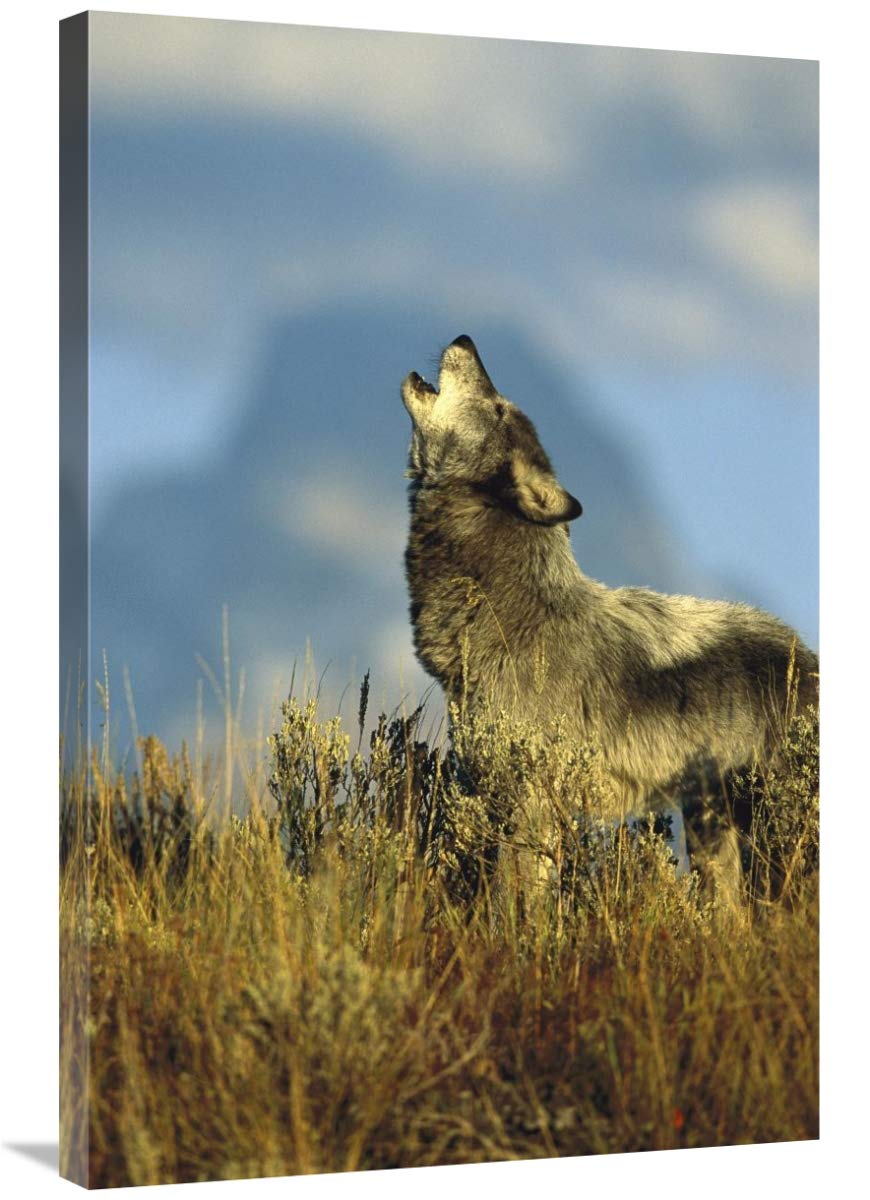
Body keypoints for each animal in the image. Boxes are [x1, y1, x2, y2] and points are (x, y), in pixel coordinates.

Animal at [402, 335, 818, 906]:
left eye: (499, 406)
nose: (466, 339)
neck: (511, 614)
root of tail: (808, 656)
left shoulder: (532, 802)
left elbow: (518, 904)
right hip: (711, 826)